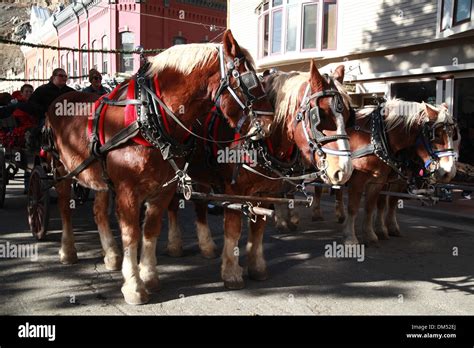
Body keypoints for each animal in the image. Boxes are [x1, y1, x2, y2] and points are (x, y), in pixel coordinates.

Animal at [45, 32, 274, 304]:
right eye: (249, 81)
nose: (270, 125)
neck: (148, 117)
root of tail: (60, 98)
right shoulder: (128, 191)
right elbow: (132, 234)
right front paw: (134, 286)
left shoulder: (163, 189)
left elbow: (151, 230)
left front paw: (149, 276)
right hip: (61, 171)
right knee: (64, 208)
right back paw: (68, 251)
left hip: (98, 178)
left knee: (99, 212)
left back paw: (111, 255)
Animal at [166, 61, 352, 288]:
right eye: (320, 115)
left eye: (348, 115)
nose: (344, 169)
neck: (259, 139)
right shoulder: (234, 193)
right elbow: (234, 229)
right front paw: (231, 273)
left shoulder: (265, 193)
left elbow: (258, 229)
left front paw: (256, 268)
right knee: (173, 204)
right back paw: (175, 245)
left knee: (200, 205)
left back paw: (207, 246)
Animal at [310, 100, 458, 245]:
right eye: (435, 135)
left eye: (453, 135)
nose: (449, 172)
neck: (377, 137)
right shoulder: (359, 179)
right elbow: (354, 207)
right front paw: (350, 237)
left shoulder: (383, 179)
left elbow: (378, 204)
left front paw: (376, 232)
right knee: (317, 190)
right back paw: (316, 214)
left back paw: (340, 216)